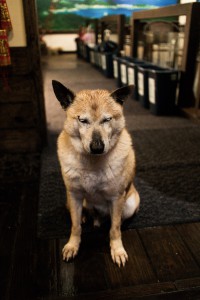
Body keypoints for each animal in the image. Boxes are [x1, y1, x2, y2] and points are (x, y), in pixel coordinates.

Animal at [52, 80, 140, 268]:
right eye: (82, 120)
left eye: (107, 119)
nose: (97, 147)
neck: (92, 163)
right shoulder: (75, 196)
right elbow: (75, 226)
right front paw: (73, 245)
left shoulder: (116, 198)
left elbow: (115, 228)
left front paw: (117, 249)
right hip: (70, 202)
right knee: (80, 216)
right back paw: (85, 217)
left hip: (130, 204)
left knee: (117, 221)